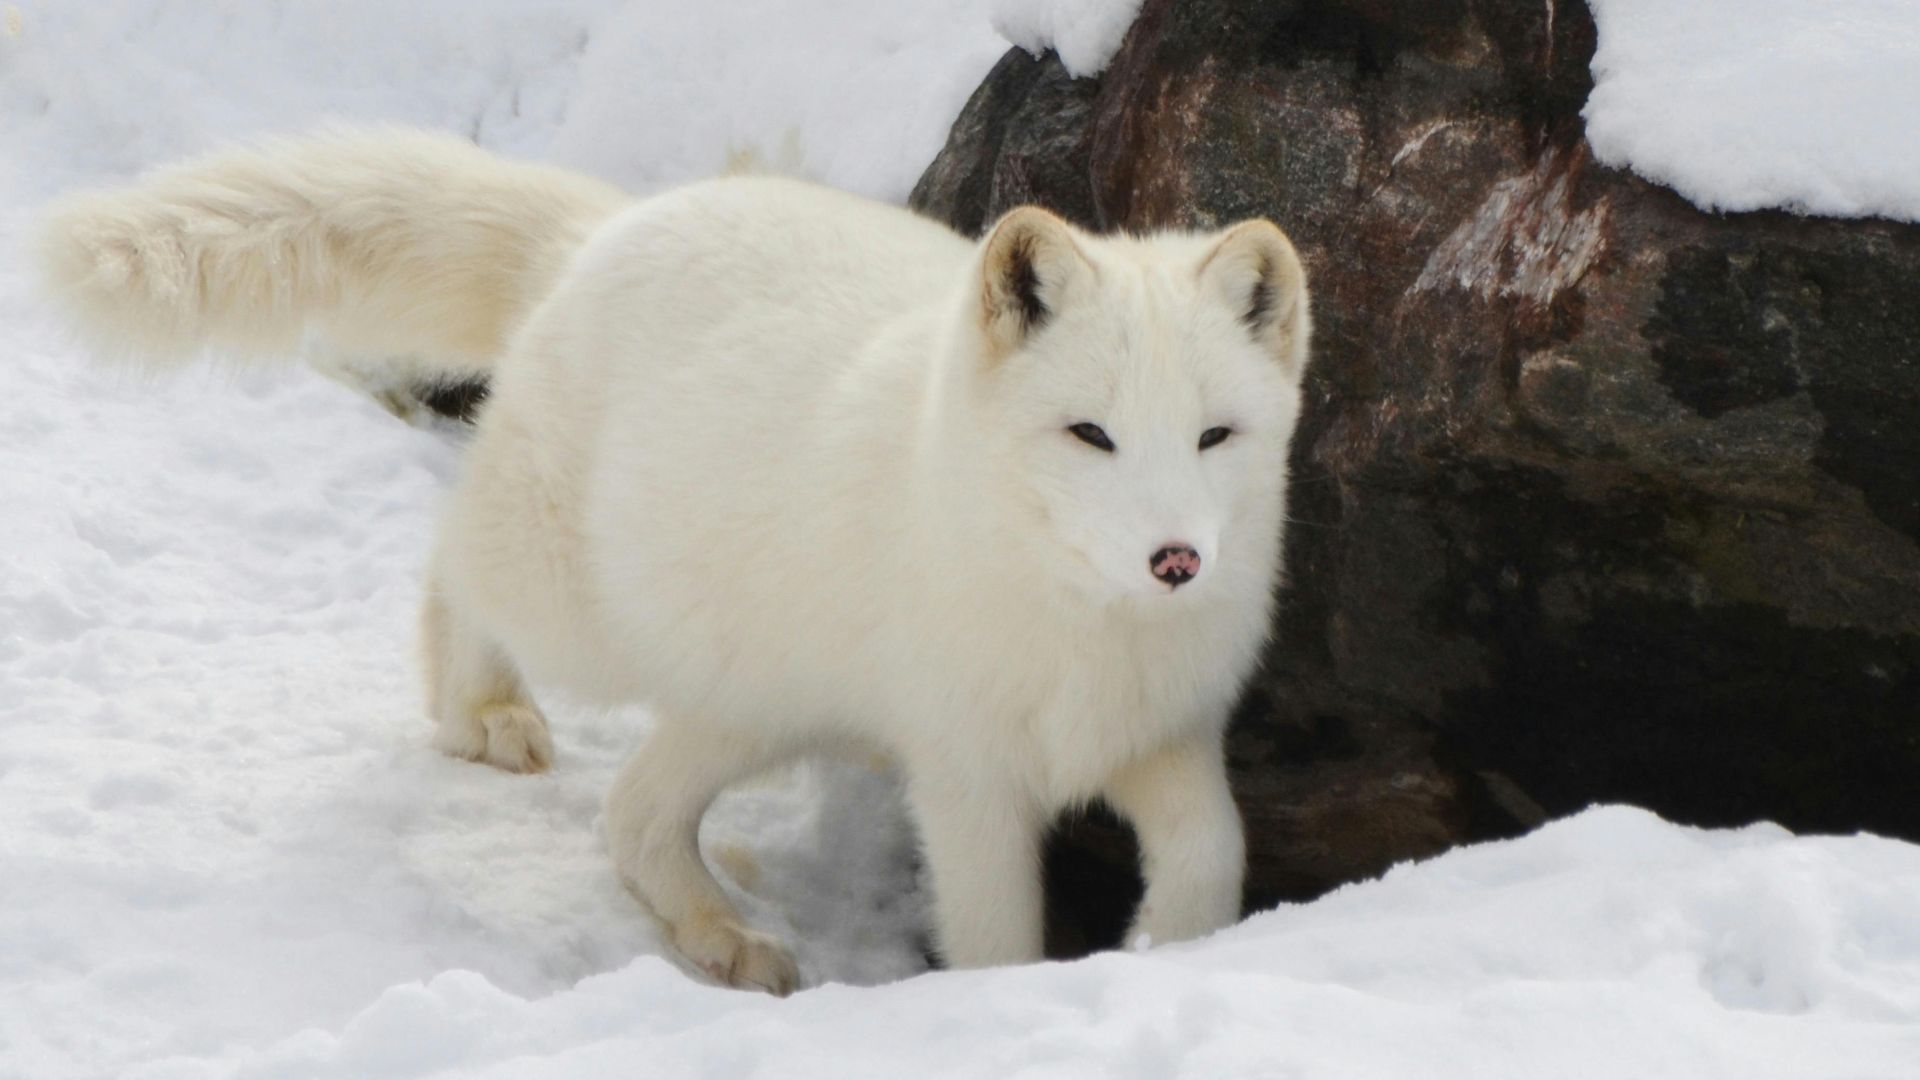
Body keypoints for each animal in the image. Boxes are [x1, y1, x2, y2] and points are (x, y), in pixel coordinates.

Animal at [37, 128, 1312, 995]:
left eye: (1215, 436)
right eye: (1090, 434)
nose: (1177, 560)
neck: (1083, 630)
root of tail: (603, 234)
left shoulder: (1165, 736)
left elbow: (1214, 854)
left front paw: (1175, 951)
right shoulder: (967, 776)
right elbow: (995, 938)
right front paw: (1003, 1003)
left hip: (754, 699)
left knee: (634, 817)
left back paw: (724, 936)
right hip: (583, 618)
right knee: (454, 567)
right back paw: (481, 710)